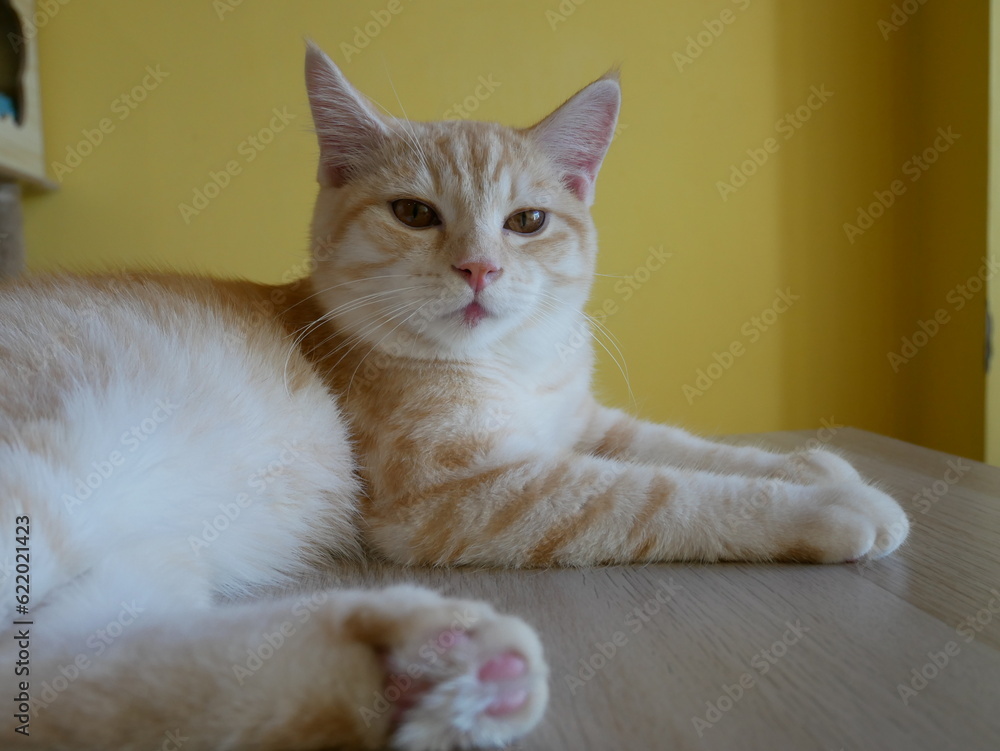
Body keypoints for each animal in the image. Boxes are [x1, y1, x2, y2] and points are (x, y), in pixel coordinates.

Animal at [0, 44, 908, 748]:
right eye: (413, 212)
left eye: (529, 221)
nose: (479, 267)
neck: (511, 364)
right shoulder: (459, 490)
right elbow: (659, 494)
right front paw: (827, 507)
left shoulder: (580, 421)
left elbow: (683, 448)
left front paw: (820, 467)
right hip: (42, 498)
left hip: (146, 564)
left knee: (64, 679)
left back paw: (428, 666)